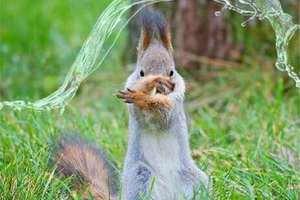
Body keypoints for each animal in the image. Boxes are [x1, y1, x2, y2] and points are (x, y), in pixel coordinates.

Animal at [53, 7, 209, 200]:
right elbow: (141, 111)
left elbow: (163, 115)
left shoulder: (175, 104)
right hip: (140, 176)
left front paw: (146, 98)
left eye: (172, 72)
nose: (161, 88)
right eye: (141, 72)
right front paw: (145, 89)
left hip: (194, 181)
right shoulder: (133, 106)